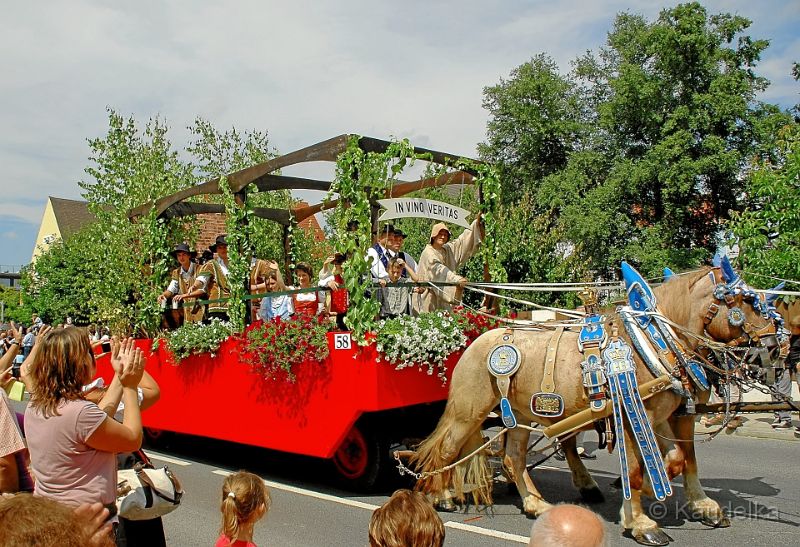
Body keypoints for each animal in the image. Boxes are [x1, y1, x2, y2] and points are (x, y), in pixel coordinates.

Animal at [410, 266, 784, 544]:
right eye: (741, 300)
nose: (776, 347)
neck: (653, 342)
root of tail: (479, 340)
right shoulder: (635, 414)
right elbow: (637, 468)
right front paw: (640, 520)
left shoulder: (676, 413)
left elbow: (683, 458)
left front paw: (699, 504)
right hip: (469, 411)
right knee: (446, 449)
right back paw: (442, 496)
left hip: (516, 413)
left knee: (512, 457)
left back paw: (535, 503)